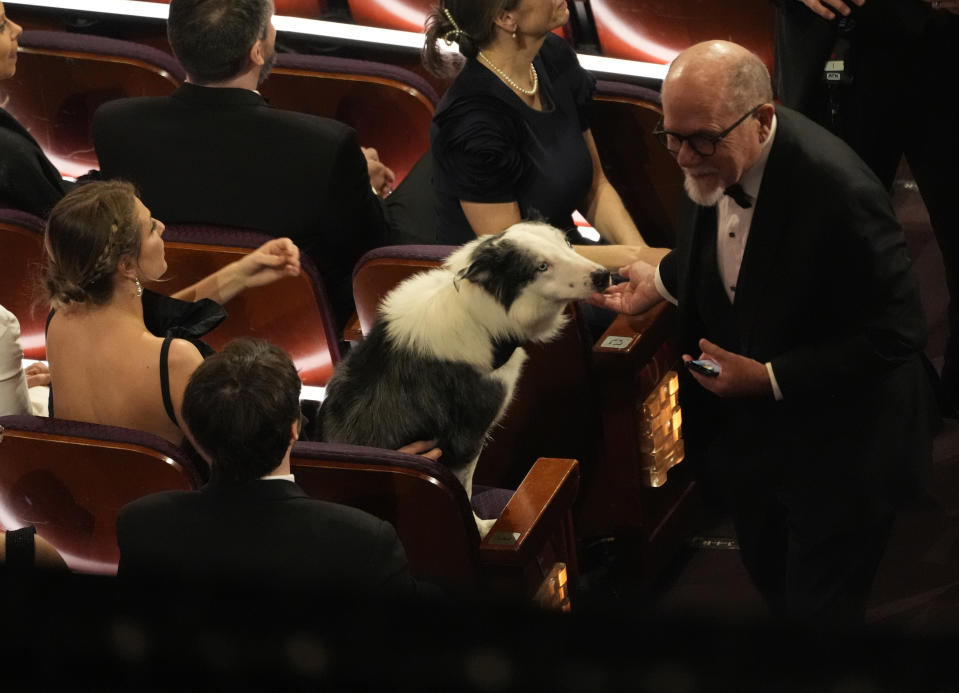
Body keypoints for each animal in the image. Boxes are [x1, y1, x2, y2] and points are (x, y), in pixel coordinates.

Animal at [318, 222, 612, 536]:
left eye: (566, 244)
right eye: (541, 266)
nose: (603, 275)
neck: (478, 315)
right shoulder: (464, 441)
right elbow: (464, 492)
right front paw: (481, 530)